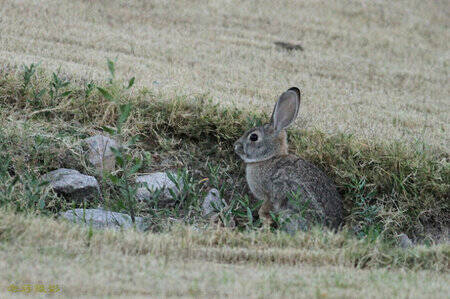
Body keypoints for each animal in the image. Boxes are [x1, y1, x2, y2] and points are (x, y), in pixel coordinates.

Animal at [234, 87, 342, 230]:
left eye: (254, 137)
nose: (236, 146)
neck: (269, 158)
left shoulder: (270, 195)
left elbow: (265, 209)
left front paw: (263, 225)